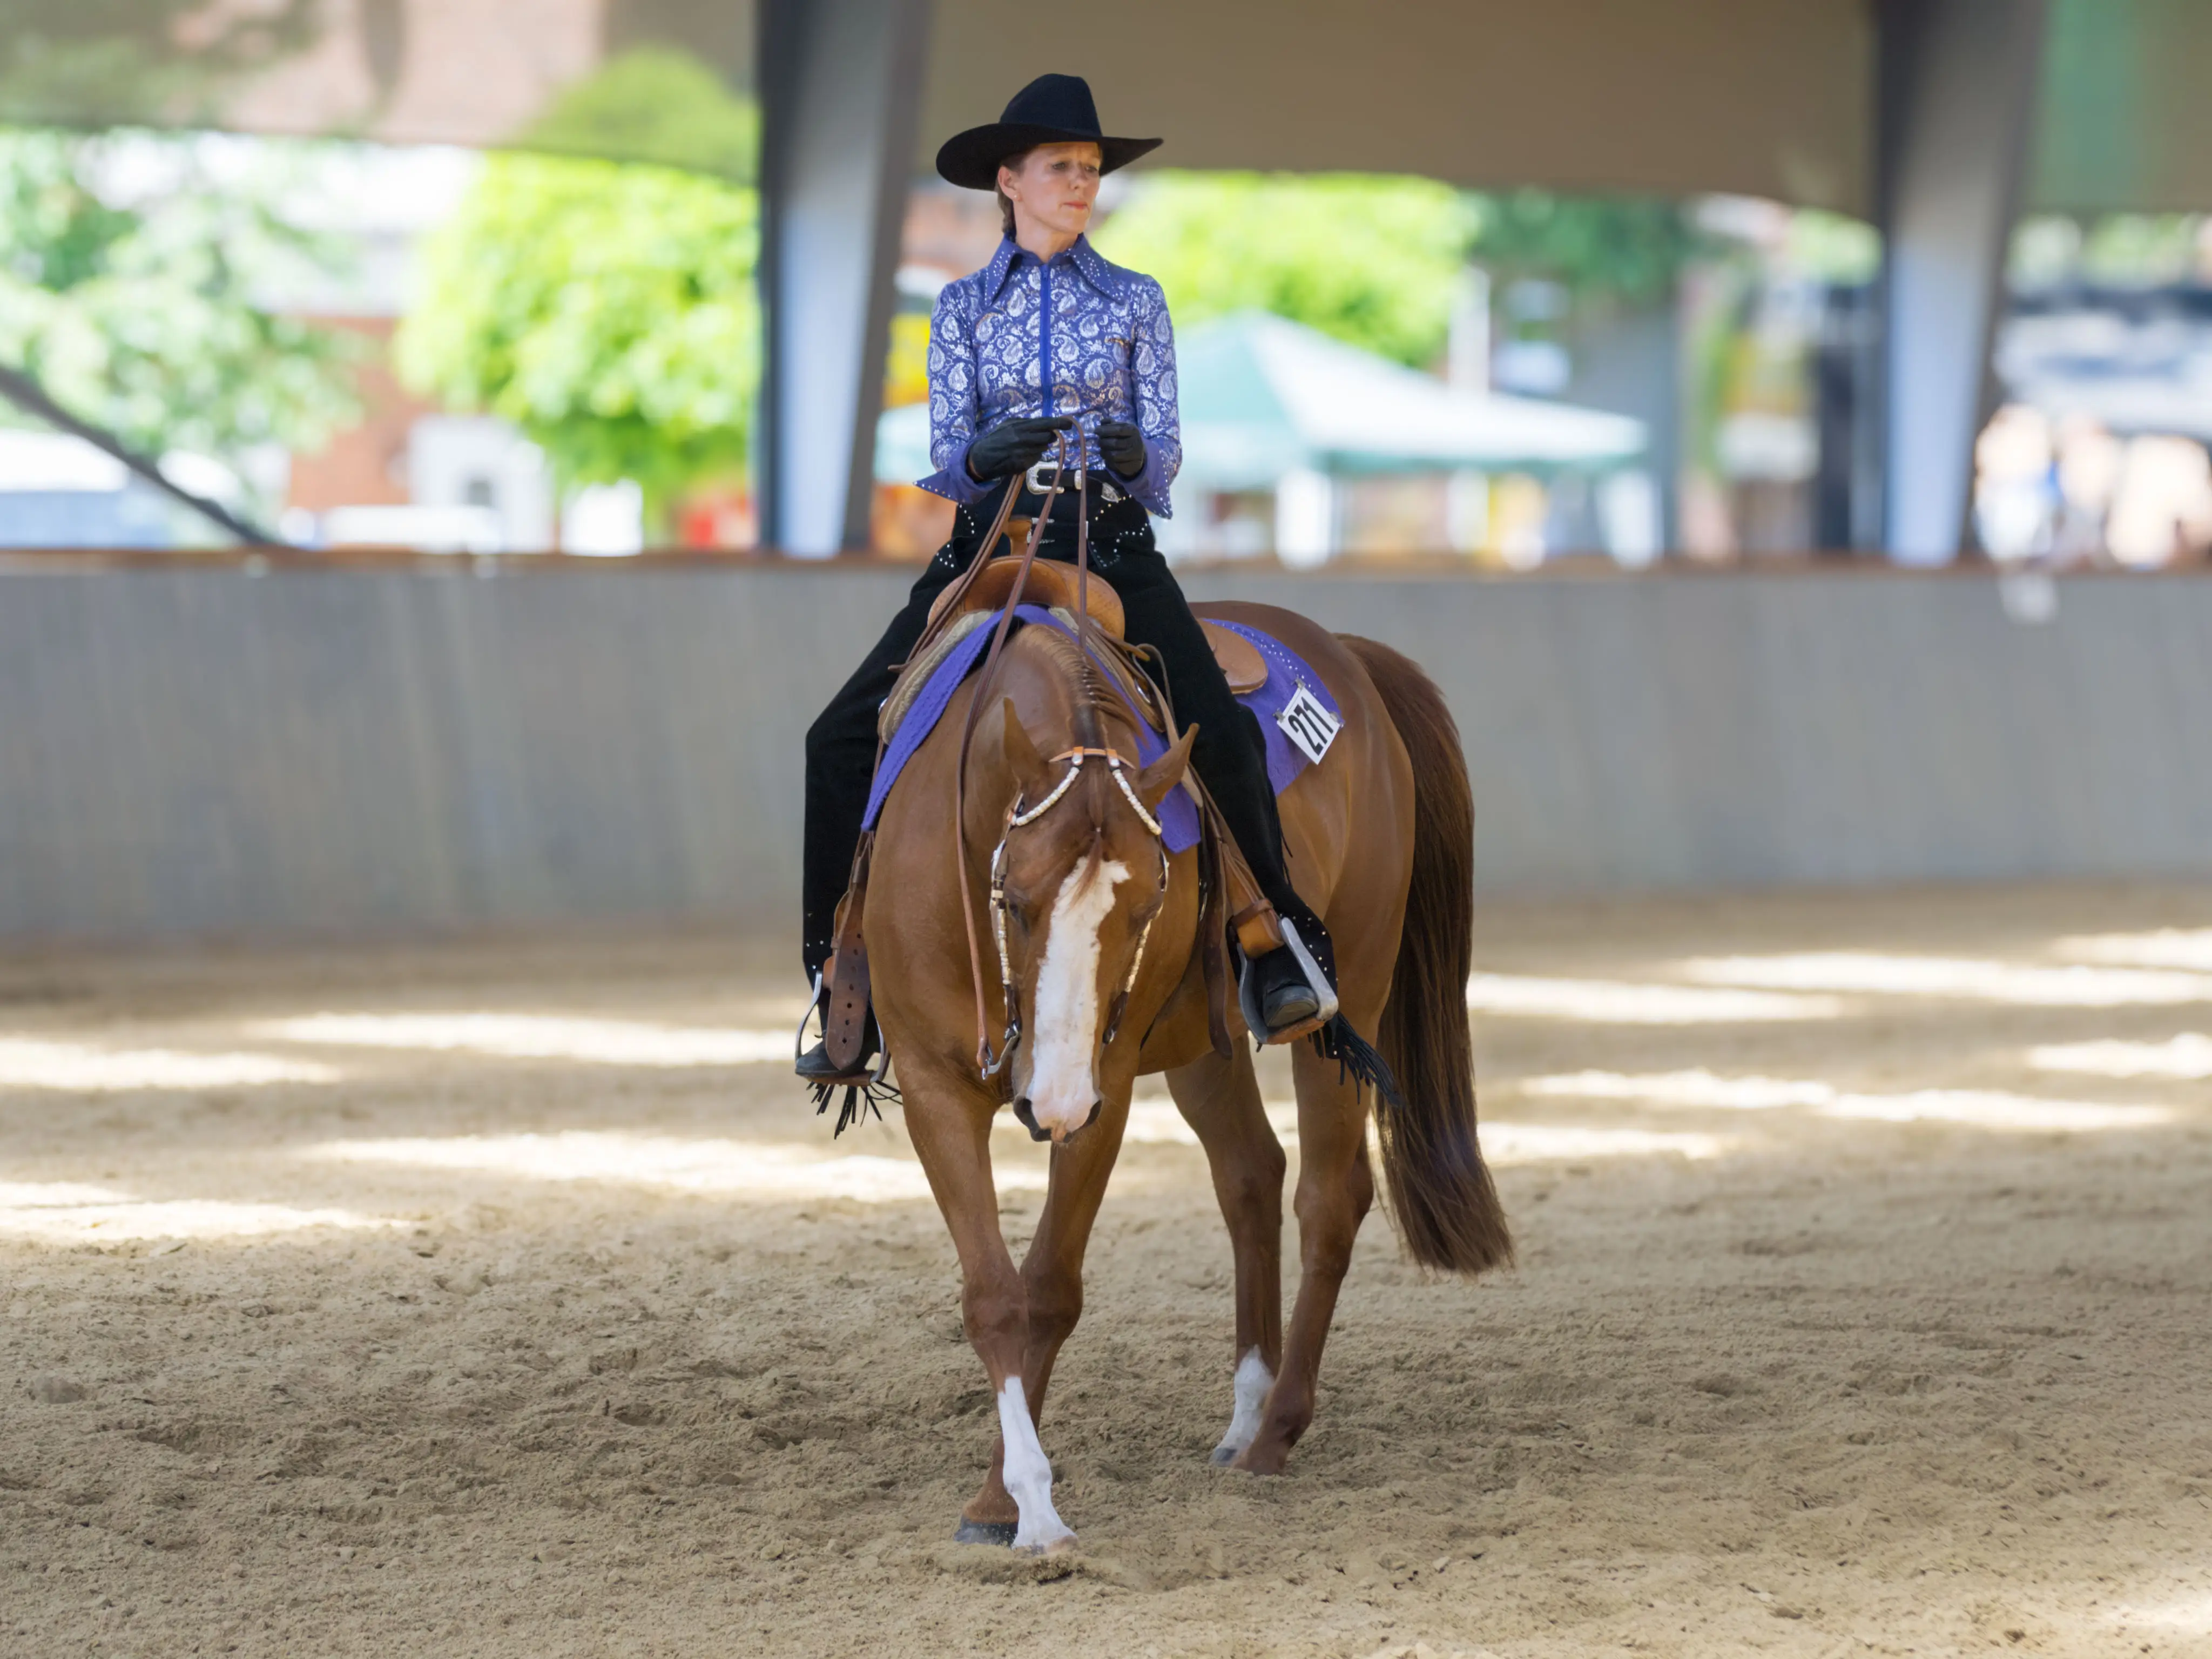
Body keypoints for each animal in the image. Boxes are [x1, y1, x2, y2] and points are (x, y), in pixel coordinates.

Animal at [871, 606, 1513, 1557]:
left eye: (1145, 907)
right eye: (1014, 899)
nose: (1051, 1100)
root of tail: (1346, 652)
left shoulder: (1104, 1087)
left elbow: (1047, 1288)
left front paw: (1019, 1500)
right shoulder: (931, 1086)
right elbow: (992, 1294)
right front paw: (1005, 1501)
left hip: (1351, 988)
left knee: (1329, 1198)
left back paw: (1276, 1432)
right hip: (1204, 1049)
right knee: (1252, 1174)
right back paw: (1246, 1416)